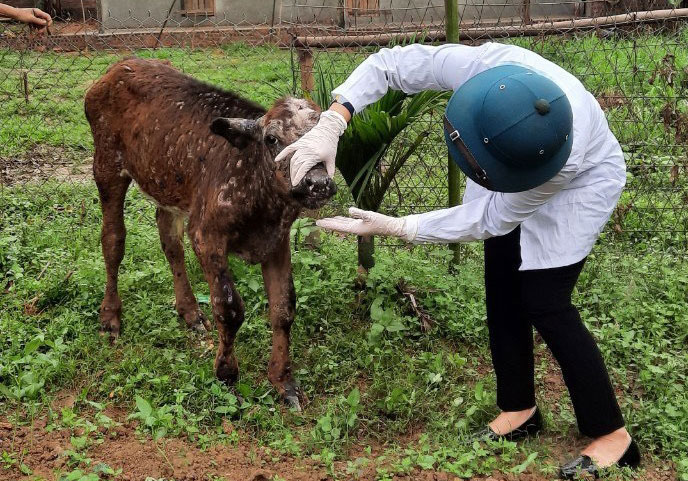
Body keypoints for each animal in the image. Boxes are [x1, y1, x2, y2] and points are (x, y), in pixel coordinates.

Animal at [84, 58, 338, 406]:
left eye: (329, 139)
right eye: (272, 139)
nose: (317, 184)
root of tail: (121, 66)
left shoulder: (277, 240)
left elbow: (284, 307)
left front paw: (283, 381)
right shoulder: (206, 236)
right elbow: (229, 308)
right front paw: (226, 373)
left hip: (169, 184)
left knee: (169, 240)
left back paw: (190, 312)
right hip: (107, 166)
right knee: (113, 241)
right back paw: (110, 317)